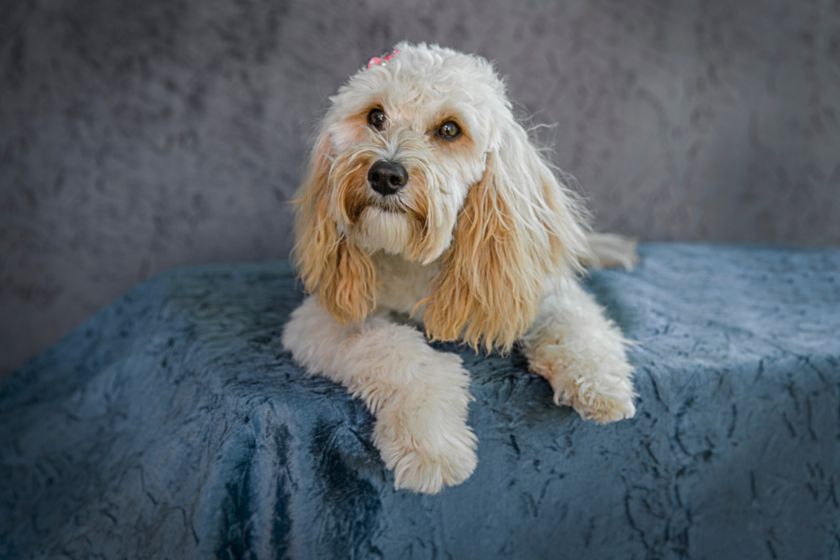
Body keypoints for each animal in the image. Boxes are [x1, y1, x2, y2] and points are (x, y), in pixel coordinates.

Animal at [282, 41, 636, 492]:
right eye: (375, 116)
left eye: (450, 130)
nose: (385, 174)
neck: (414, 260)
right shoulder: (321, 319)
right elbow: (396, 350)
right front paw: (429, 443)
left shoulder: (536, 291)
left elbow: (575, 325)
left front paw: (600, 383)